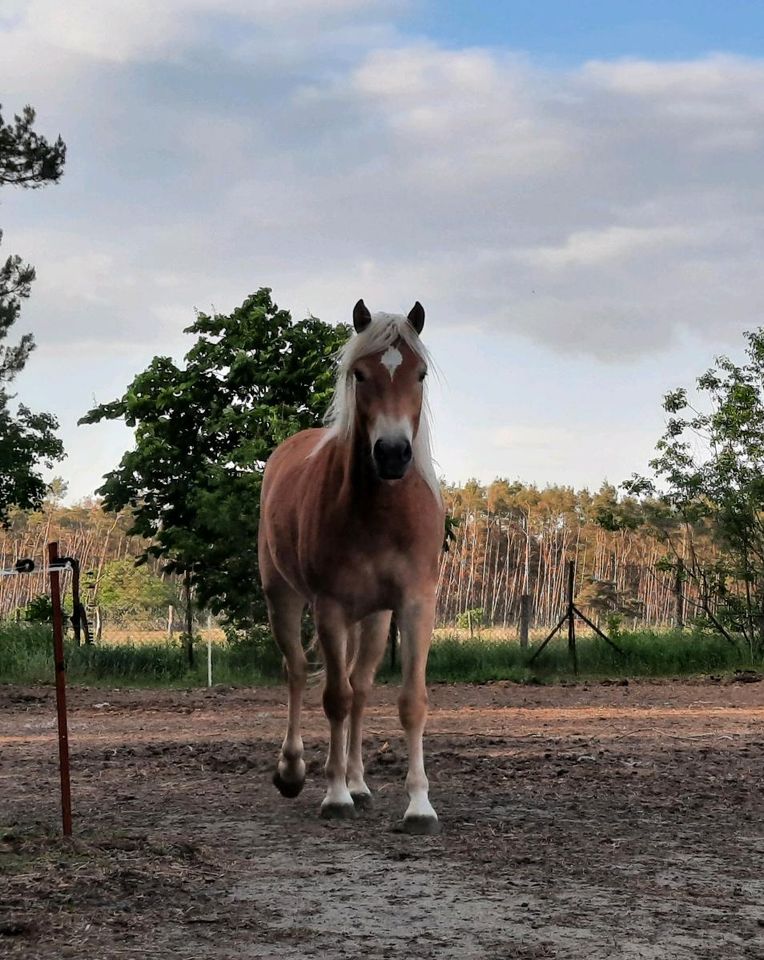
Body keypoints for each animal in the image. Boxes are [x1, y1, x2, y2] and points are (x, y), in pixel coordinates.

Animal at [260, 298, 444, 832]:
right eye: (360, 375)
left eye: (420, 373)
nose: (393, 453)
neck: (379, 511)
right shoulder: (331, 608)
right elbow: (333, 699)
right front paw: (334, 794)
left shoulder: (414, 605)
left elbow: (409, 701)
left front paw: (418, 805)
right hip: (283, 597)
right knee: (299, 672)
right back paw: (296, 770)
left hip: (376, 618)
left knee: (360, 689)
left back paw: (360, 783)